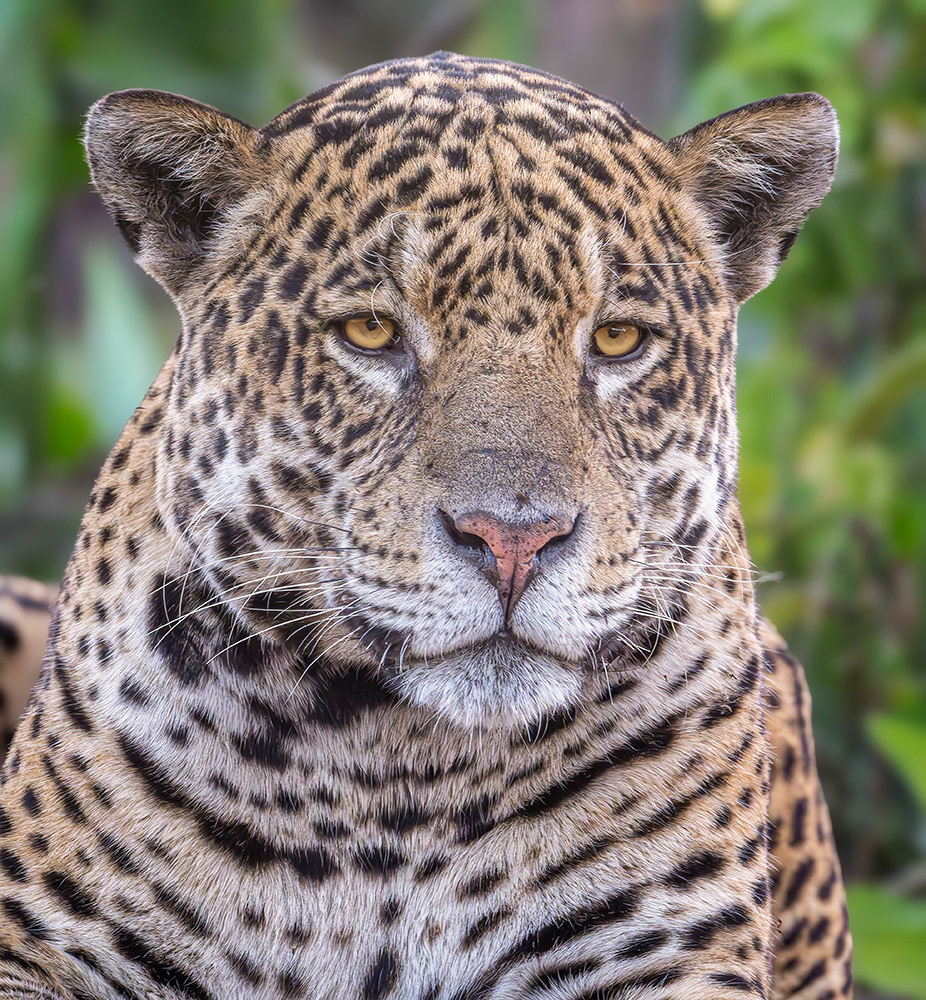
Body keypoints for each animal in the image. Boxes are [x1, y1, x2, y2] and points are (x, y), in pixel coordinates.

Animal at [0, 52, 851, 1000]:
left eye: (619, 340)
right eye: (371, 332)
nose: (513, 540)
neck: (399, 789)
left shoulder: (669, 957)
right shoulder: (42, 946)